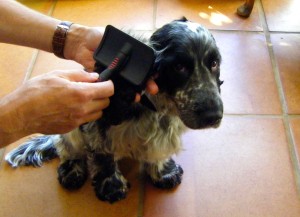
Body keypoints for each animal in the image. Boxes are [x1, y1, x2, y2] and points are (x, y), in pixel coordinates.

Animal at [5, 17, 224, 204]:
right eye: (179, 67)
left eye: (214, 63)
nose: (213, 116)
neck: (159, 104)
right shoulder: (97, 121)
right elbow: (104, 156)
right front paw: (112, 187)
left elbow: (158, 151)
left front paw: (164, 172)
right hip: (69, 124)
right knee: (67, 147)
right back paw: (72, 171)